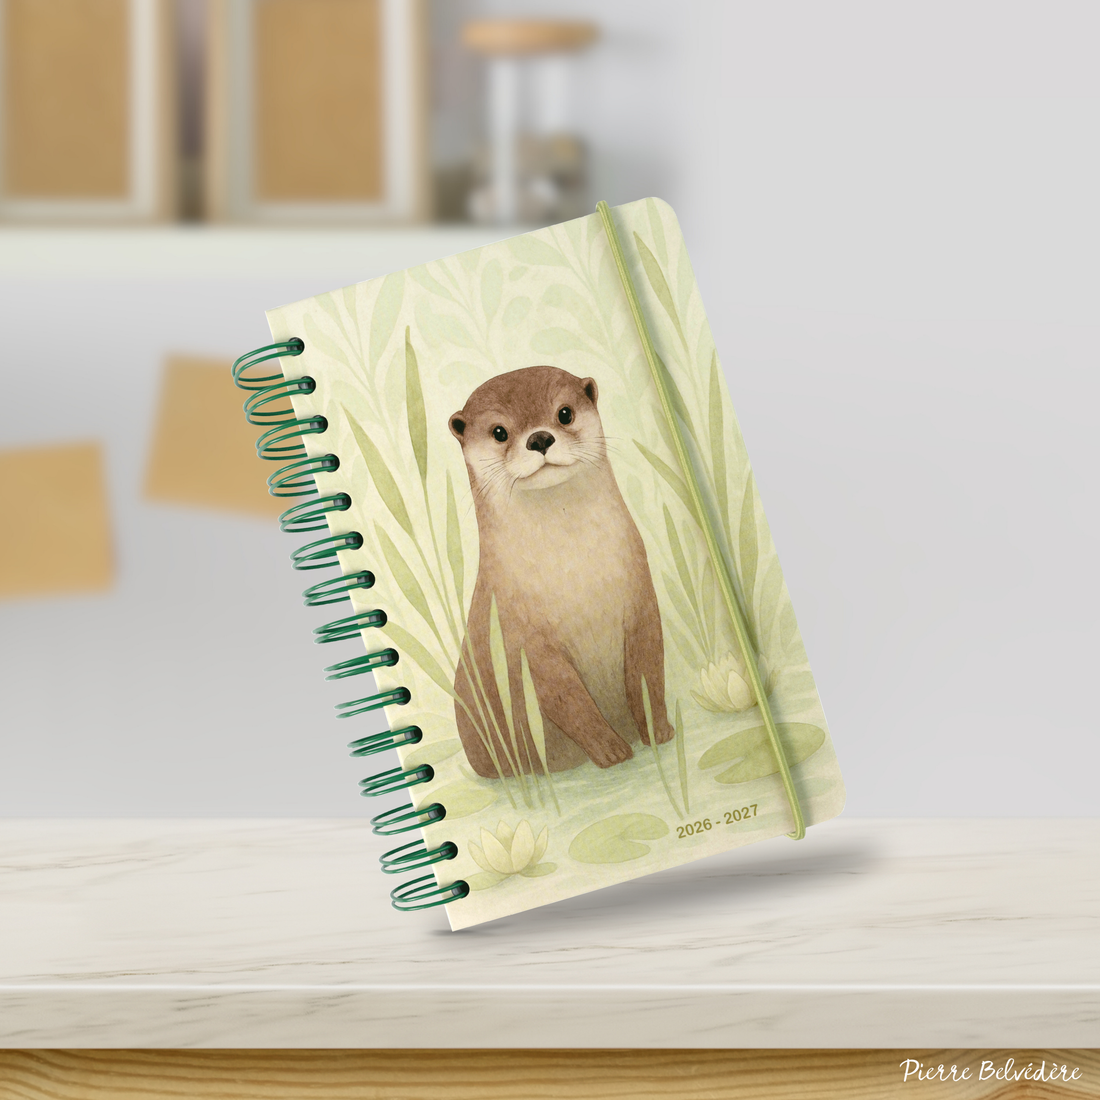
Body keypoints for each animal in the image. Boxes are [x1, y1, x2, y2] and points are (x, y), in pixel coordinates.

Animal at [448, 365, 674, 777]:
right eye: (499, 432)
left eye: (564, 413)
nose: (539, 438)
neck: (573, 575)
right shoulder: (520, 635)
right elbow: (568, 698)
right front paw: (611, 751)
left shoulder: (641, 599)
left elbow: (647, 669)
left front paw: (657, 730)